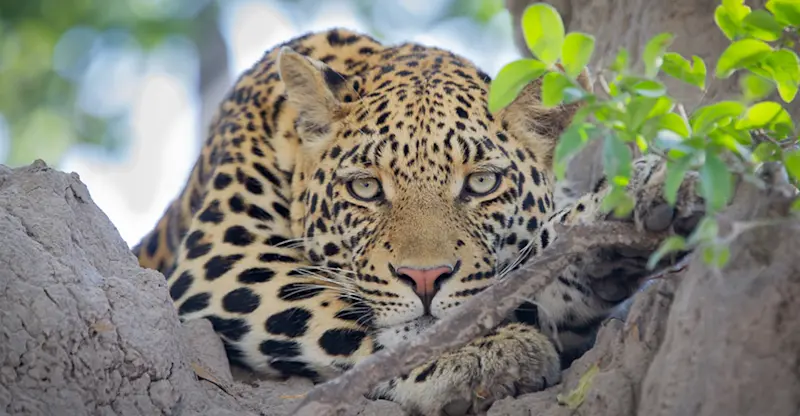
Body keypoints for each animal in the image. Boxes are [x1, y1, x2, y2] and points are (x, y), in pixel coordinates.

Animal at [132, 28, 704, 416]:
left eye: (481, 183)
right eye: (365, 188)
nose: (425, 278)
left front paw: (627, 213)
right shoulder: (224, 258)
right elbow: (349, 319)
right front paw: (480, 356)